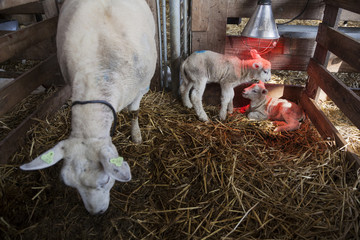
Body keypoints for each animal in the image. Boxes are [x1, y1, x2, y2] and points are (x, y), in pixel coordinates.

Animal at [19, 0, 157, 215]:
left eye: (106, 180)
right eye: (71, 185)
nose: (96, 213)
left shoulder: (142, 87)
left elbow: (134, 112)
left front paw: (136, 135)